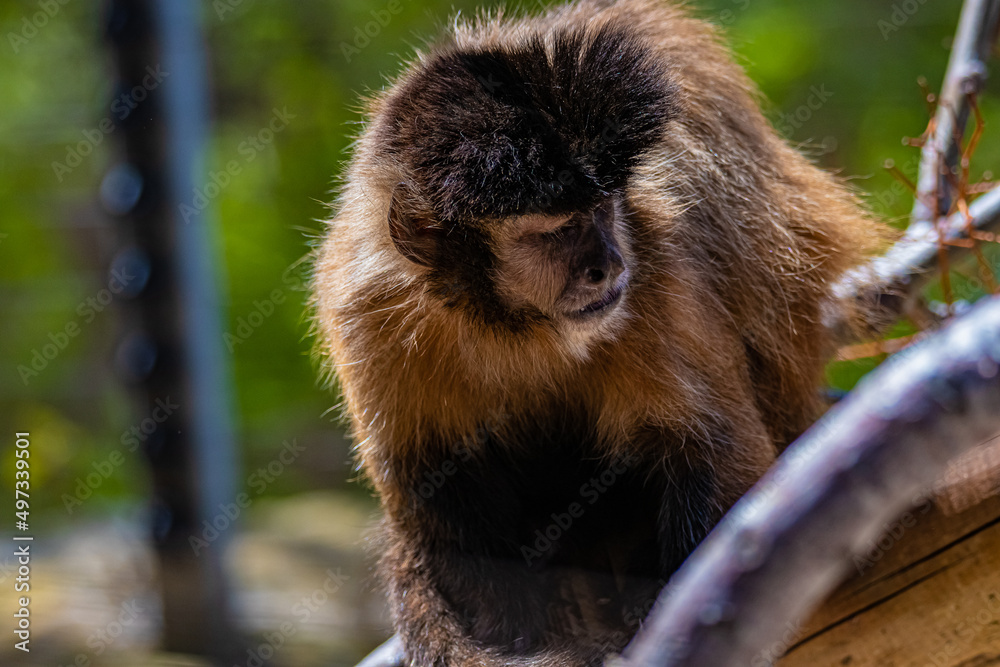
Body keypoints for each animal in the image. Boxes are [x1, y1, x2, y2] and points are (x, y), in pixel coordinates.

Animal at [312, 1, 885, 665]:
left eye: (603, 211)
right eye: (559, 231)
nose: (606, 266)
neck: (512, 327)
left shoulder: (654, 261)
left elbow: (717, 449)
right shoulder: (368, 309)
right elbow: (433, 482)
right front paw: (512, 632)